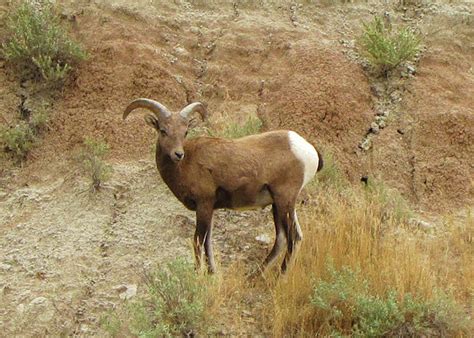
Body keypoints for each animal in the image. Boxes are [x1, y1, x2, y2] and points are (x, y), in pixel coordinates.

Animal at [122, 97, 324, 272]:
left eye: (185, 132)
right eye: (163, 130)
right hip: (281, 204)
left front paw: (199, 275)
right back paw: (255, 275)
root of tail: (307, 148)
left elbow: (198, 242)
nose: (178, 154)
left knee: (292, 238)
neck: (186, 165)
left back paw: (279, 276)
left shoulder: (204, 205)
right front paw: (212, 273)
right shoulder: (209, 209)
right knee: (286, 237)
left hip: (284, 200)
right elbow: (208, 243)